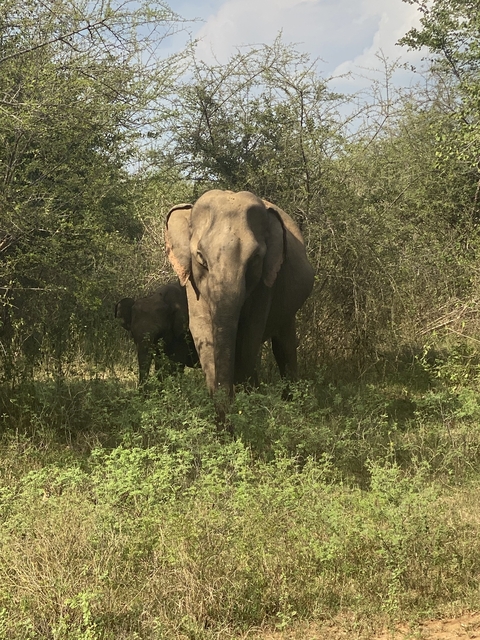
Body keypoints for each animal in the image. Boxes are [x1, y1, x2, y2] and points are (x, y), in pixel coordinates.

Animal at [165, 189, 314, 413]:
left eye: (254, 259)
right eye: (201, 258)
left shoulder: (266, 282)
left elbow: (251, 332)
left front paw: (248, 406)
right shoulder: (192, 282)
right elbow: (201, 328)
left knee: (284, 346)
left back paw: (290, 403)